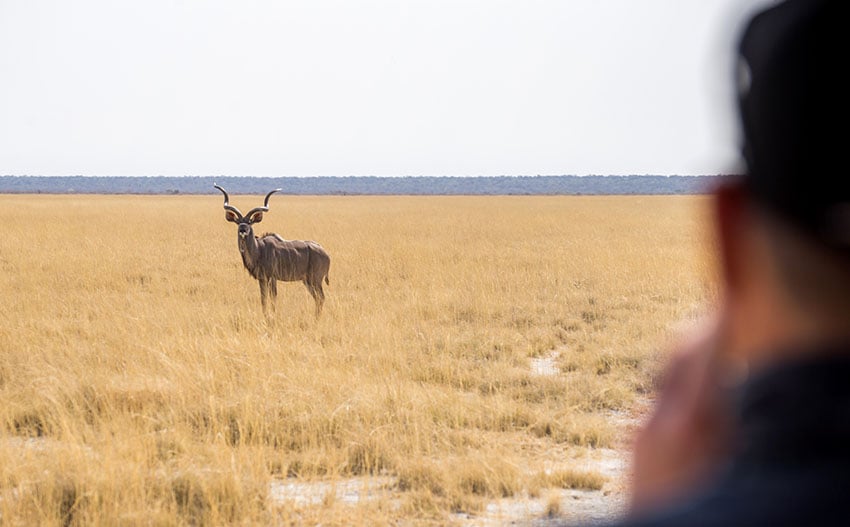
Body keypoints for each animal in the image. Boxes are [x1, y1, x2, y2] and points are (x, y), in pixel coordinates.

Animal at [214, 186, 330, 318]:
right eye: (238, 222)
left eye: (249, 222)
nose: (242, 230)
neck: (259, 250)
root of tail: (326, 254)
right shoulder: (262, 279)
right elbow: (263, 298)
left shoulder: (272, 278)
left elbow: (273, 298)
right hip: (307, 281)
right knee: (318, 298)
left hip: (315, 280)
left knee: (321, 297)